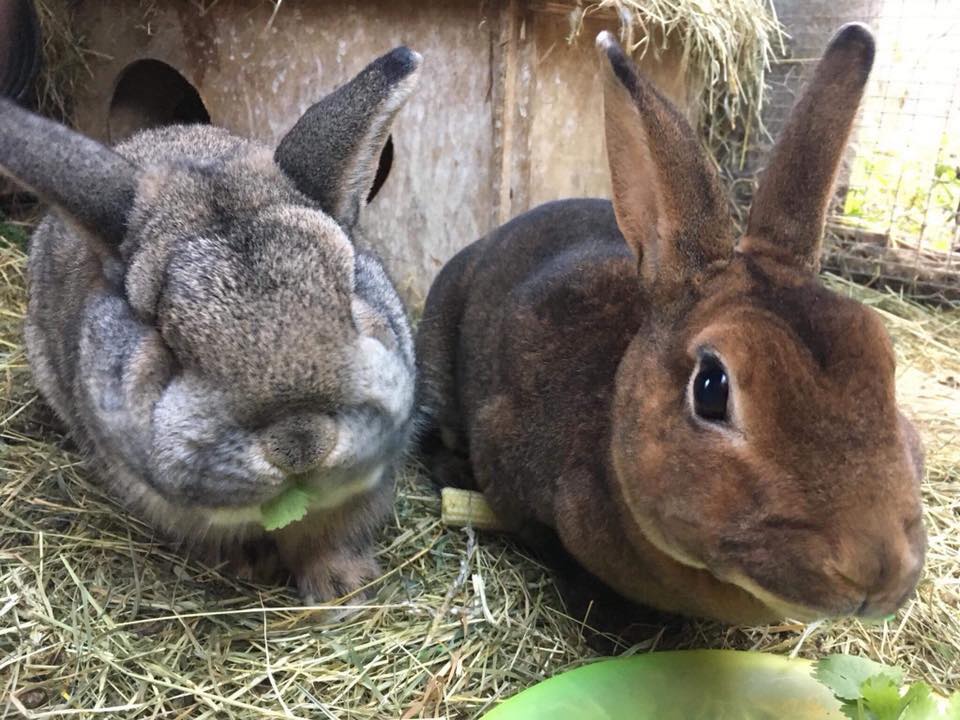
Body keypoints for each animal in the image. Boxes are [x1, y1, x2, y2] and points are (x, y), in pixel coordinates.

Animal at [0, 47, 422, 602]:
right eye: (166, 340)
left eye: (350, 291)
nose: (301, 444)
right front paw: (252, 567)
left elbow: (330, 536)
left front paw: (342, 587)